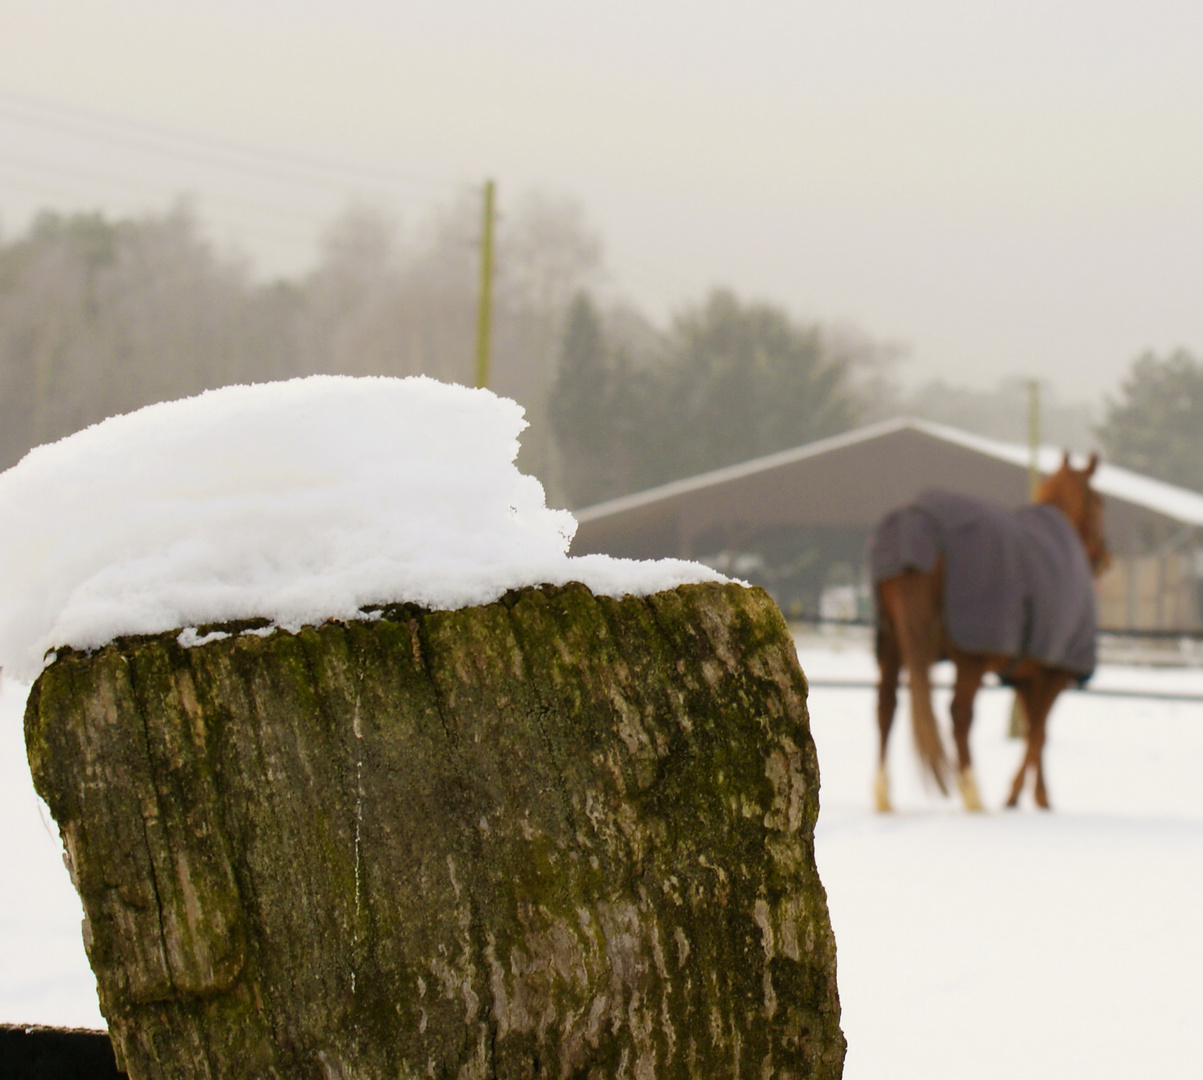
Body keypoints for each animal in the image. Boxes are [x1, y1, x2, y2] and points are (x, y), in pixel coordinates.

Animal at [875, 449, 1106, 813]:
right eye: (1099, 502)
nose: (1105, 557)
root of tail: (916, 520)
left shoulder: (1026, 678)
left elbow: (1032, 730)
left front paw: (1036, 796)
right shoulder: (1055, 672)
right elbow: (1039, 731)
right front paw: (1018, 796)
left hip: (891, 642)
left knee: (886, 706)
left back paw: (884, 794)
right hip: (969, 657)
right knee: (959, 714)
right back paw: (973, 795)